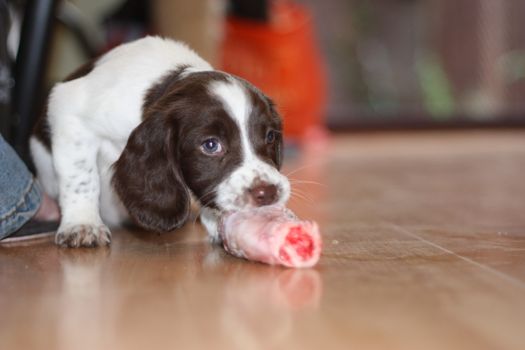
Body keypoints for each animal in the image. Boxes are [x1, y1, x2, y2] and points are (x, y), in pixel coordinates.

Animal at [30, 37, 288, 247]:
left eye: (270, 136)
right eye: (211, 145)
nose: (267, 193)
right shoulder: (69, 112)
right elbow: (81, 177)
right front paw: (82, 224)